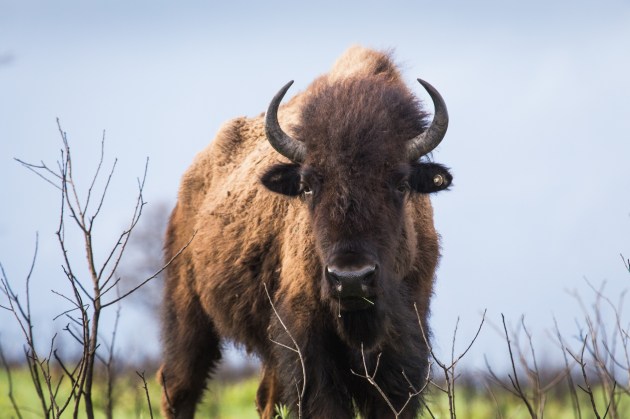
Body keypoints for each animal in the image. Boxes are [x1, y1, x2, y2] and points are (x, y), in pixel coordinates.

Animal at [158, 46, 454, 419]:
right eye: (308, 185)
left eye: (401, 183)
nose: (351, 278)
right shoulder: (307, 348)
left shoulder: (403, 350)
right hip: (187, 311)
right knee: (180, 386)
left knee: (265, 397)